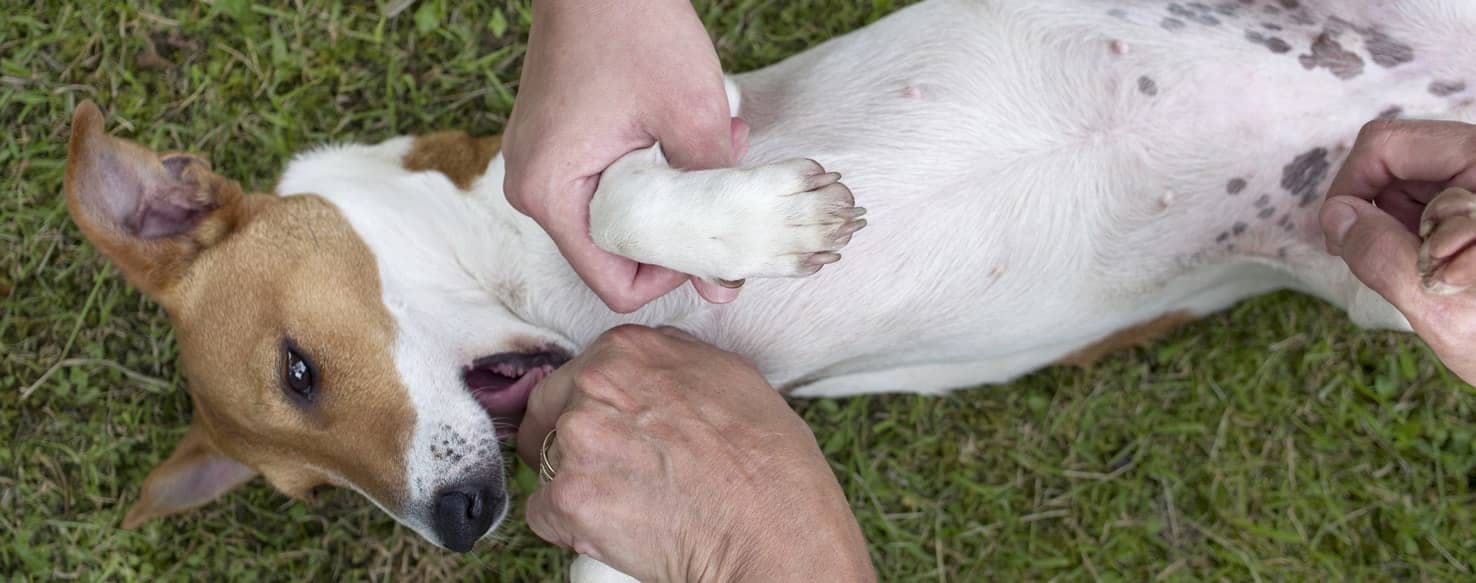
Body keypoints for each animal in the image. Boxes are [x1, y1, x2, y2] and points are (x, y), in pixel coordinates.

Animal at [57, 0, 1476, 578]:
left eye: (299, 367)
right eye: (309, 490)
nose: (460, 523)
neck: (541, 302)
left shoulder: (675, 122)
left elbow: (623, 189)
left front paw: (764, 221)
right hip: (1354, 265)